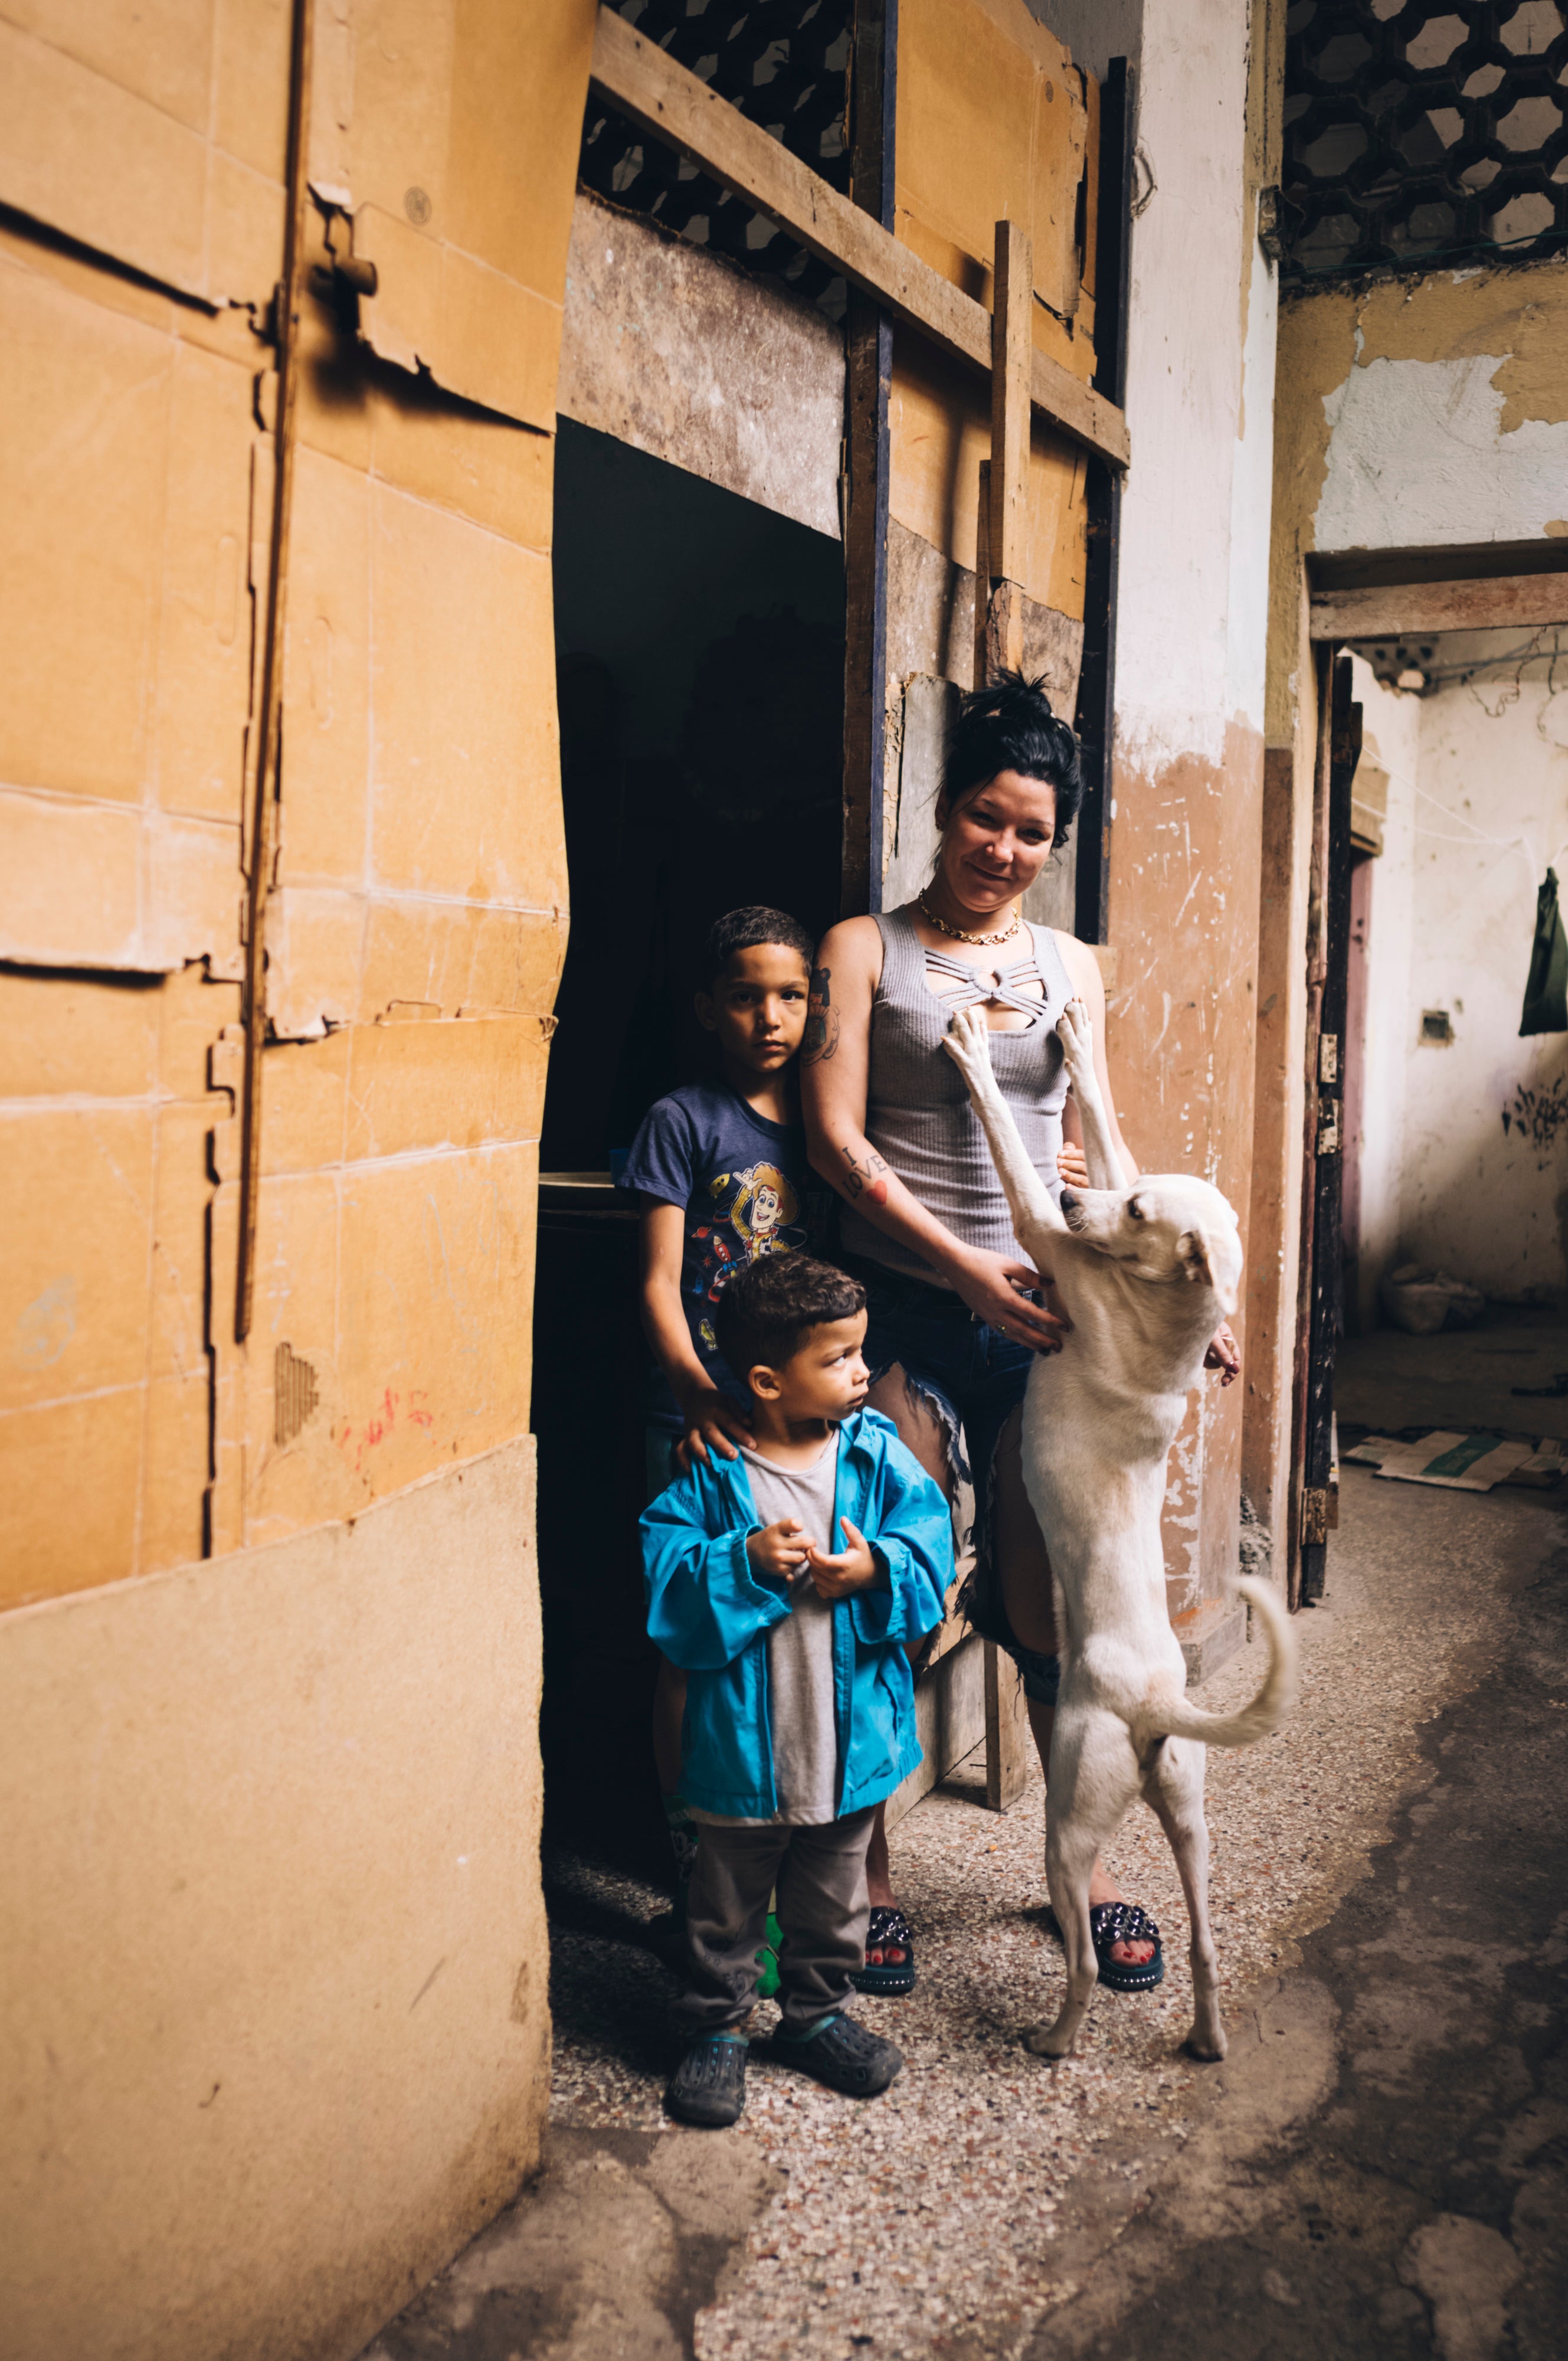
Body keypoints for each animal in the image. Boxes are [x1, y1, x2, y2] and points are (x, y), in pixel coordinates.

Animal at [935, 1001, 1294, 2068]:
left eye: (1137, 1213)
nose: (1073, 1193)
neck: (1168, 1311)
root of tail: (1155, 1713)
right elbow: (1098, 1119)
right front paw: (1078, 1041)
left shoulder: (1042, 1243)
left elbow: (1011, 1169)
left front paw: (973, 1048)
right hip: (1191, 1816)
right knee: (1208, 1947)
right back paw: (1207, 2040)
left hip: (1070, 1813)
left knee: (1087, 1963)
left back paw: (1052, 2039)